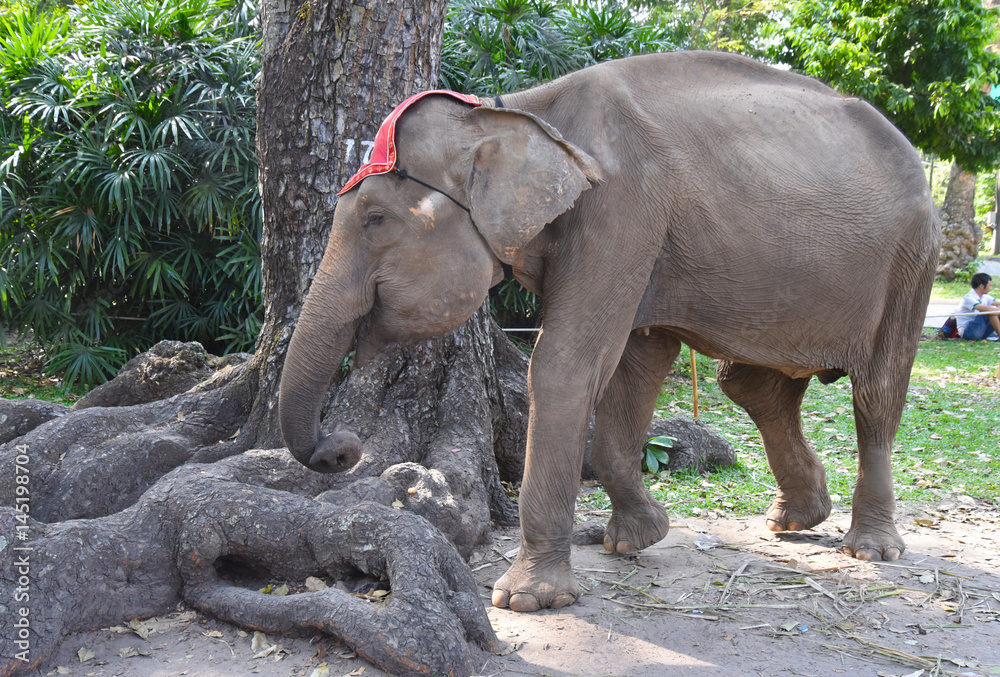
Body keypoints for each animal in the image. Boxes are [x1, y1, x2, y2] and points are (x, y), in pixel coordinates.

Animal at [278, 51, 941, 613]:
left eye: (375, 218)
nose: (344, 447)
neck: (512, 112)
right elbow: (636, 362)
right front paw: (636, 539)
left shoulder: (623, 210)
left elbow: (566, 363)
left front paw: (528, 599)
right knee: (752, 385)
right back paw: (794, 519)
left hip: (912, 261)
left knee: (875, 394)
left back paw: (870, 547)